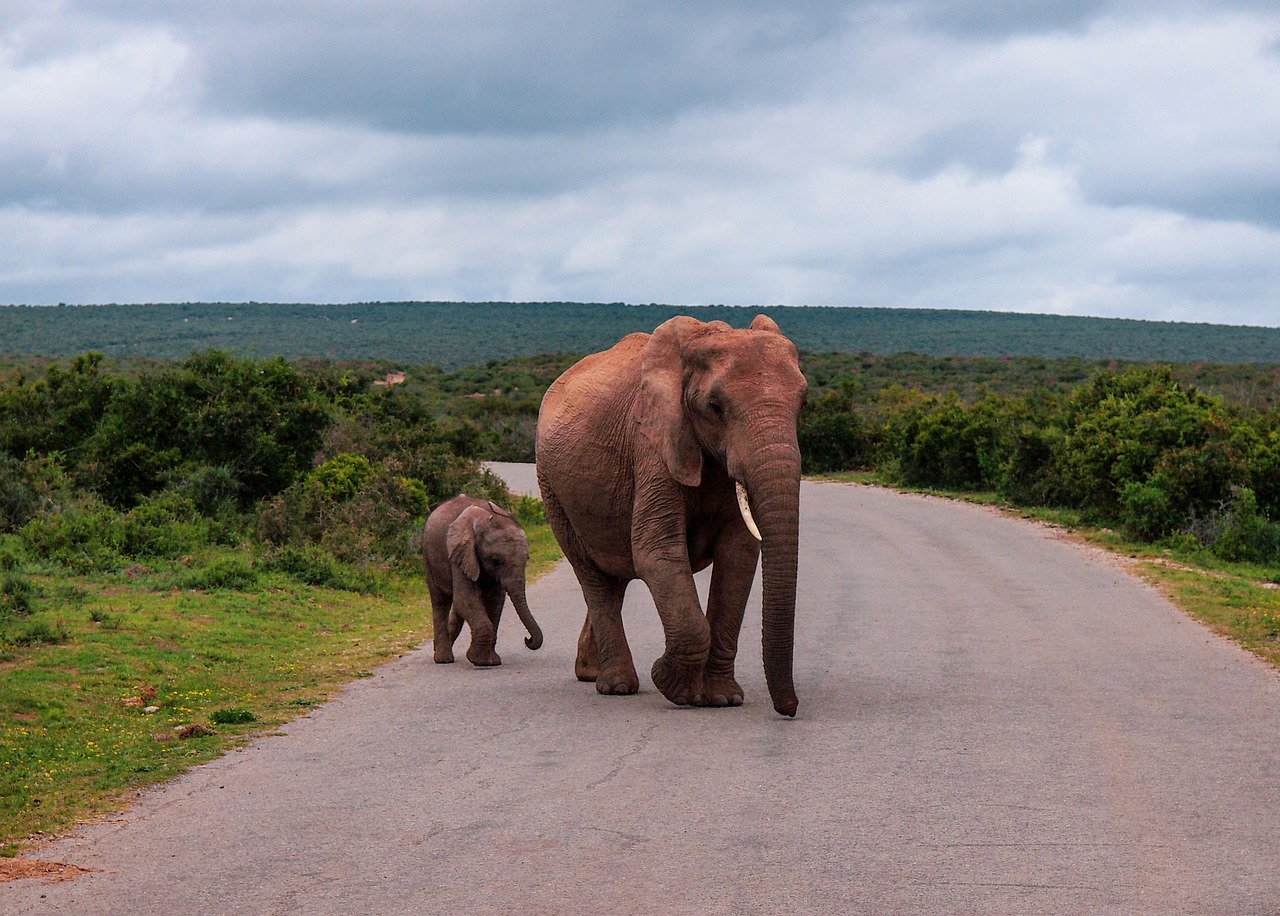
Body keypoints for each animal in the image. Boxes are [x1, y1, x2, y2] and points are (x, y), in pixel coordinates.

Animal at [419, 493, 540, 665]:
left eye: (527, 558)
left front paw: (492, 661)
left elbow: (494, 600)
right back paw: (443, 659)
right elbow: (465, 598)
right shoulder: (460, 552)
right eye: (496, 561)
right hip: (429, 556)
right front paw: (478, 659)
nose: (527, 639)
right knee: (440, 601)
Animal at [535, 314, 803, 716]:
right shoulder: (652, 446)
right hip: (551, 487)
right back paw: (616, 686)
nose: (790, 709)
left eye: (803, 403)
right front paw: (672, 686)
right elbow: (656, 552)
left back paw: (590, 673)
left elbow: (738, 557)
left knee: (614, 576)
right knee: (594, 577)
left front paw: (723, 699)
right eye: (715, 407)